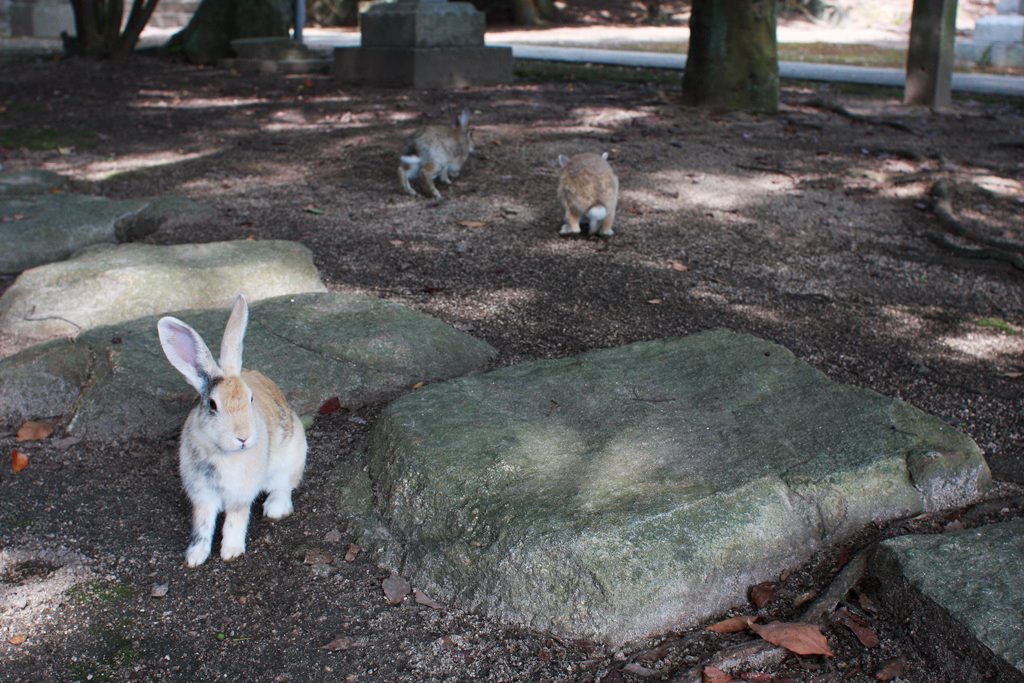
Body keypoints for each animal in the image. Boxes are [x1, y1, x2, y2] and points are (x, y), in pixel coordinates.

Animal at [157, 296, 305, 569]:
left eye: (251, 398)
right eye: (212, 405)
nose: (243, 438)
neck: (223, 454)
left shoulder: (240, 494)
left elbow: (236, 520)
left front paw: (231, 552)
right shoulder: (202, 494)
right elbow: (202, 524)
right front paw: (195, 557)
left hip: (293, 455)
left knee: (284, 486)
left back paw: (275, 509)